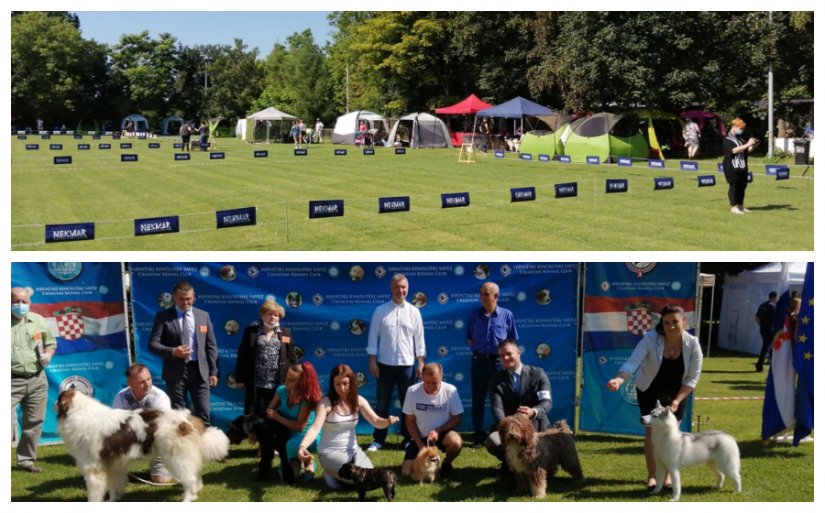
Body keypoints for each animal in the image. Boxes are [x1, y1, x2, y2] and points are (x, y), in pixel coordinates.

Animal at [57, 388, 229, 500]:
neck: (78, 412)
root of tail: (186, 419)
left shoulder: (93, 466)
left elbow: (94, 491)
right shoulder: (113, 465)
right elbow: (114, 485)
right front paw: (114, 499)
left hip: (177, 457)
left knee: (190, 478)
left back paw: (188, 498)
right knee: (195, 474)